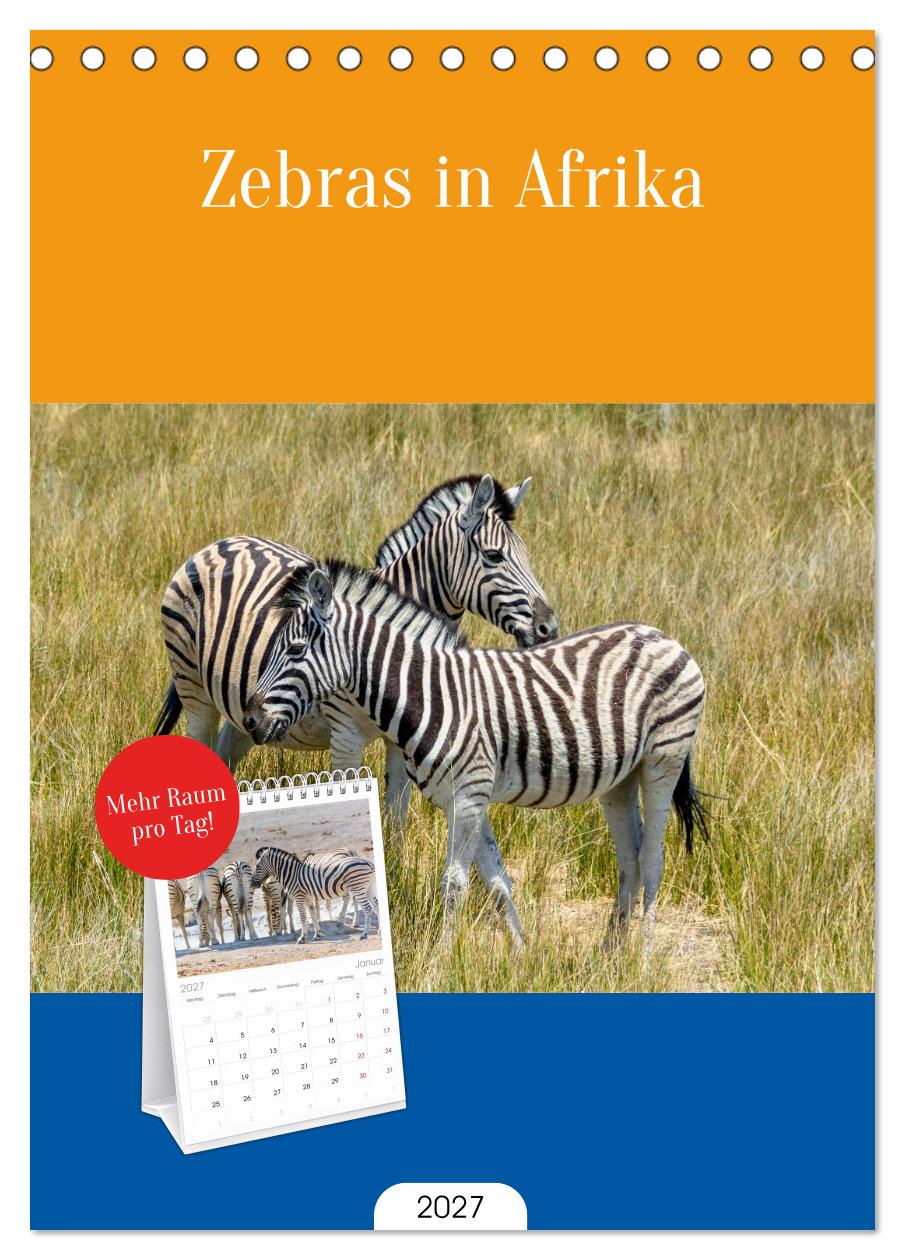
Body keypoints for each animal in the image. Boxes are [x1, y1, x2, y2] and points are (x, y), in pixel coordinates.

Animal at [153, 474, 557, 829]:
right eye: (494, 556)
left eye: (526, 555)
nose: (548, 629)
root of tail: (217, 544)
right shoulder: (344, 735)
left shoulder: (402, 739)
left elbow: (397, 813)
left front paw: (398, 863)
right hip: (194, 690)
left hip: (241, 707)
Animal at [249, 847, 379, 943]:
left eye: (258, 866)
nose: (251, 883)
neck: (292, 874)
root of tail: (368, 862)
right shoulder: (308, 897)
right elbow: (313, 914)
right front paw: (317, 935)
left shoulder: (299, 897)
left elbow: (303, 917)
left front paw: (302, 938)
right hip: (368, 888)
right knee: (376, 906)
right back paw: (379, 932)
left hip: (358, 888)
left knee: (368, 909)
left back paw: (364, 934)